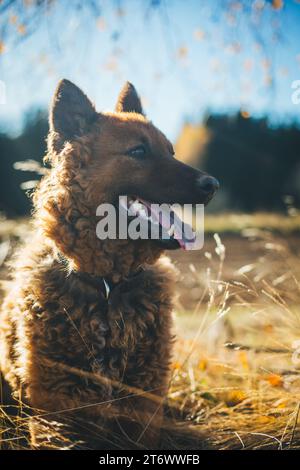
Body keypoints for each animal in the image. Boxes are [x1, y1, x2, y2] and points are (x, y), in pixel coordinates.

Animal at [0, 80, 217, 448]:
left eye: (171, 151)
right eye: (139, 152)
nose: (213, 185)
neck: (107, 285)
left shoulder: (142, 410)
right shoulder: (55, 416)